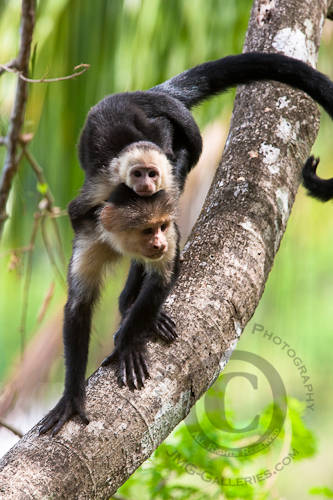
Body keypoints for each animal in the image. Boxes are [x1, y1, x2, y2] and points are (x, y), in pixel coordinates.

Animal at [39, 185, 179, 438]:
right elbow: (79, 305)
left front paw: (127, 344)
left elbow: (161, 279)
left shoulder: (168, 232)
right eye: (147, 230)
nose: (159, 243)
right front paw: (72, 398)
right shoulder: (91, 237)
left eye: (161, 227)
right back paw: (129, 303)